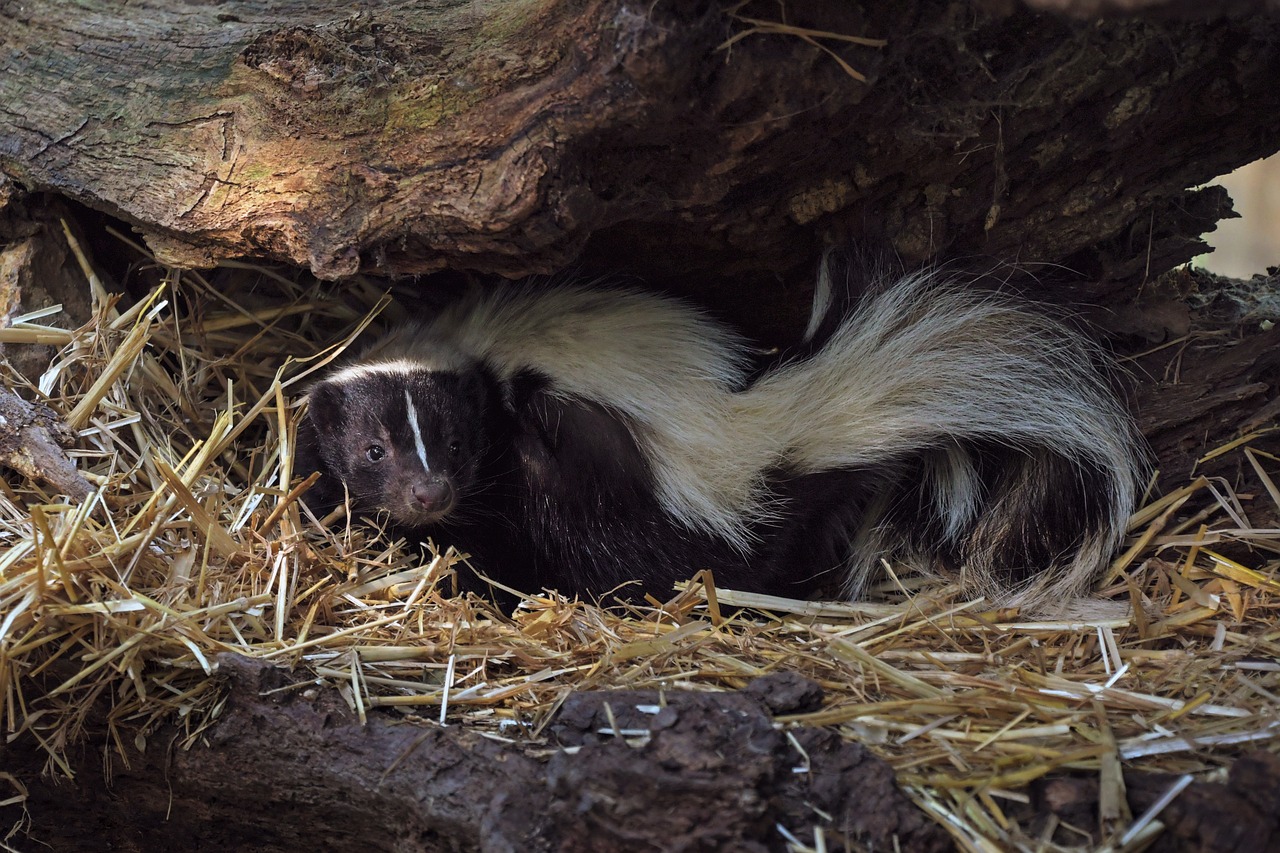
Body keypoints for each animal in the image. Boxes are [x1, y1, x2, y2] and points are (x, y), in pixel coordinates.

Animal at [296, 256, 1141, 607]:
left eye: (458, 445)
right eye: (373, 449)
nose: (427, 493)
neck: (463, 346)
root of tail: (763, 426)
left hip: (609, 486)